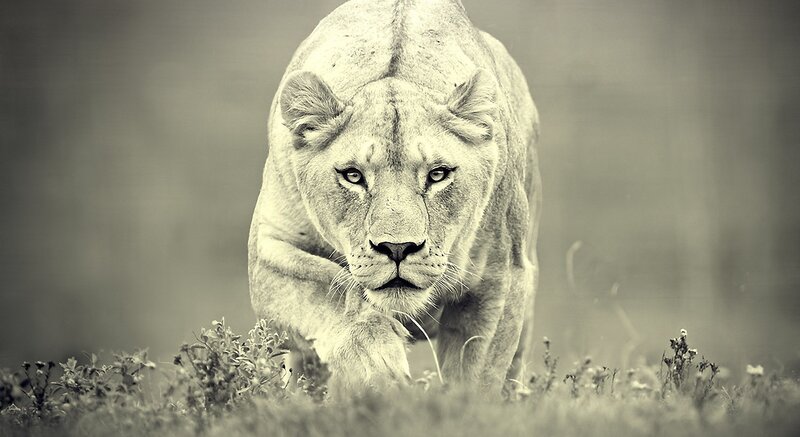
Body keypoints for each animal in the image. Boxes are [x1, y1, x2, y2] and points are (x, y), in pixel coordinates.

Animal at [248, 0, 540, 394]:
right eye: (353, 175)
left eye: (438, 174)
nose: (398, 248)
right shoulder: (268, 251)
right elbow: (331, 290)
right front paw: (378, 367)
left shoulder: (501, 277)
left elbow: (476, 377)